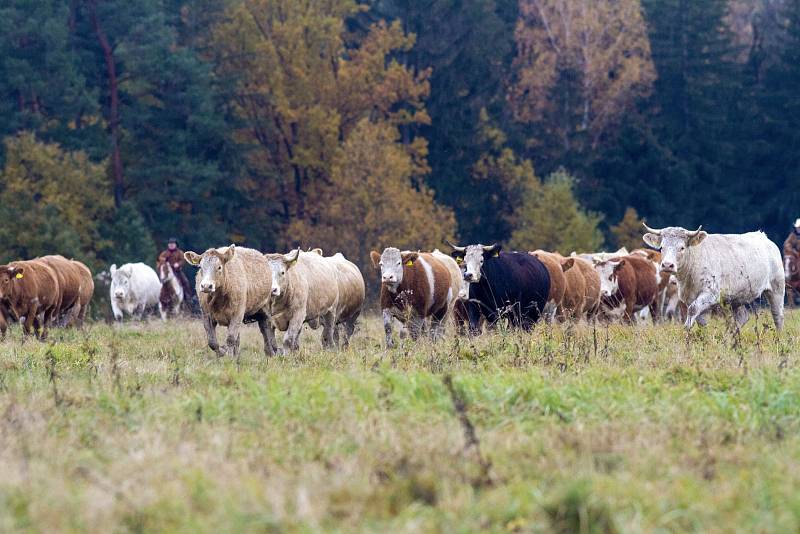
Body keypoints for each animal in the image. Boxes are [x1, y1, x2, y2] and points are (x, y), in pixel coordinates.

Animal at [640, 223, 784, 330]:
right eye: (661, 247)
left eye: (681, 248)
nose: (667, 265)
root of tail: (762, 236)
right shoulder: (689, 298)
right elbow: (698, 317)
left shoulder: (711, 294)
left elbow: (693, 310)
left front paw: (687, 329)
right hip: (737, 297)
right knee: (742, 317)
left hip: (777, 288)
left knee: (778, 316)